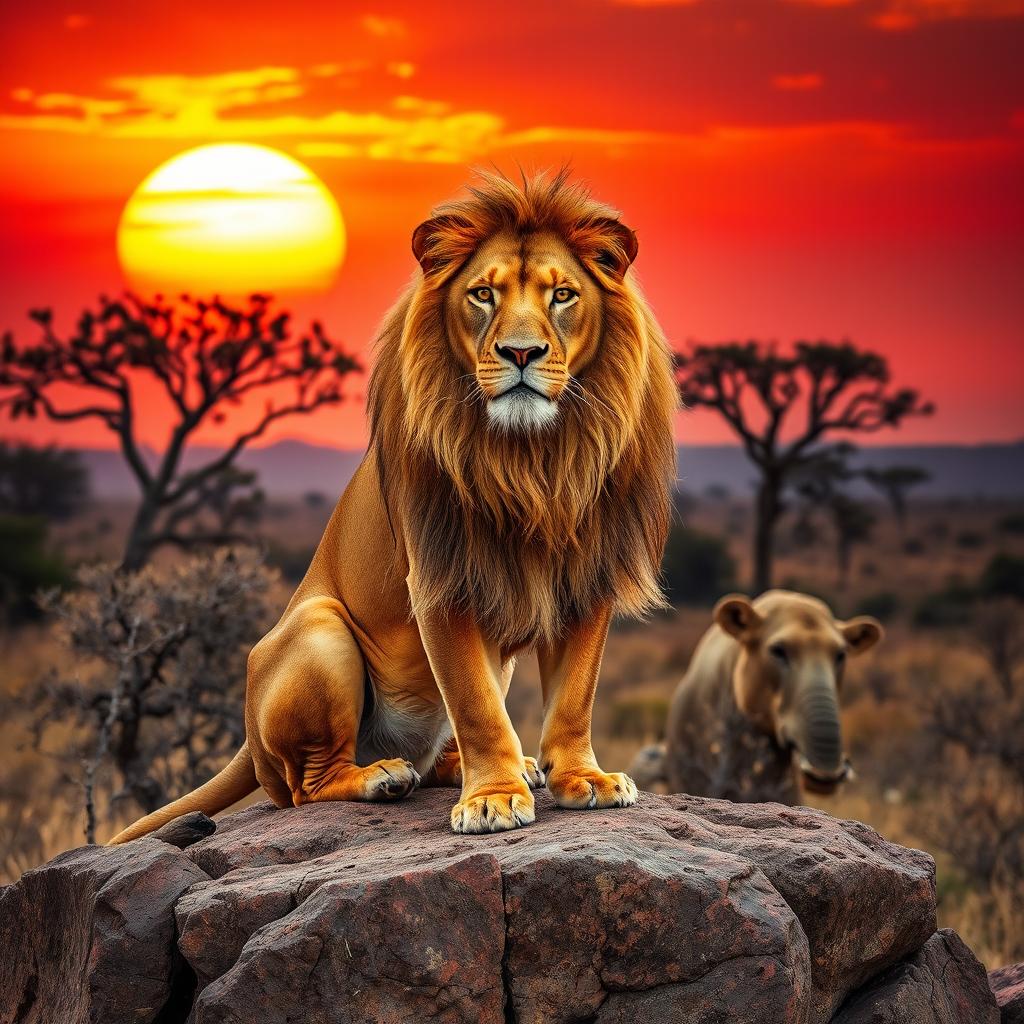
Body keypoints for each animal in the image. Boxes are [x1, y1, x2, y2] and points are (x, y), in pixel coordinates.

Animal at [109, 170, 677, 842]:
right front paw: (492, 799)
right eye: (482, 295)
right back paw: (383, 776)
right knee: (306, 787)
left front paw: (581, 779)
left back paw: (502, 767)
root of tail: (247, 732)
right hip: (321, 633)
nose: (520, 354)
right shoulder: (441, 577)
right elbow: (476, 702)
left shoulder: (590, 574)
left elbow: (573, 696)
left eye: (562, 295)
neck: (534, 458)